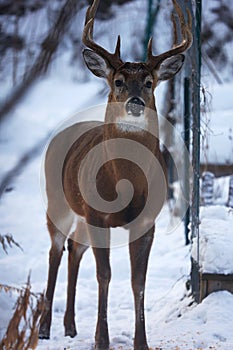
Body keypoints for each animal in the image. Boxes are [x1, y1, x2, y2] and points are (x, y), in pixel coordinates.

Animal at [39, 0, 192, 350]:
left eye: (148, 83)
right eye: (119, 81)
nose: (135, 102)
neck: (125, 182)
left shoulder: (146, 221)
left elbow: (138, 279)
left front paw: (141, 342)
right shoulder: (98, 215)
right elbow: (105, 275)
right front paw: (101, 340)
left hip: (80, 214)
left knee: (74, 248)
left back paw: (70, 326)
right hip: (57, 201)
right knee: (55, 250)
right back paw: (44, 327)